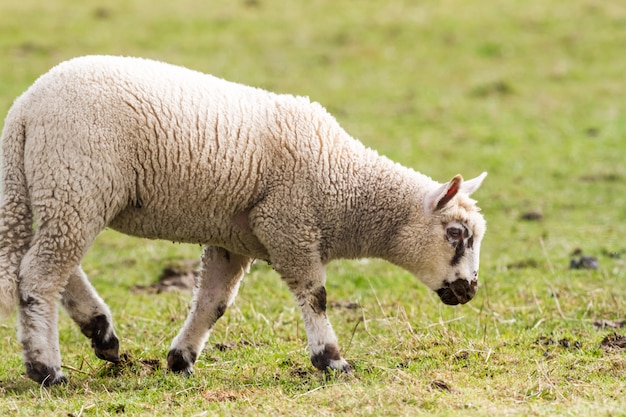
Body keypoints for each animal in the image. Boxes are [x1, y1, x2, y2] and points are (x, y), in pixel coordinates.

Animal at [0, 56, 488, 386]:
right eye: (455, 234)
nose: (469, 290)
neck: (346, 188)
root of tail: (24, 108)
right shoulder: (288, 224)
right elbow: (315, 296)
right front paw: (331, 360)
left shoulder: (234, 239)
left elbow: (212, 303)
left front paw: (181, 360)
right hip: (76, 182)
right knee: (39, 274)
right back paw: (47, 368)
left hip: (65, 191)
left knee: (44, 266)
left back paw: (100, 333)